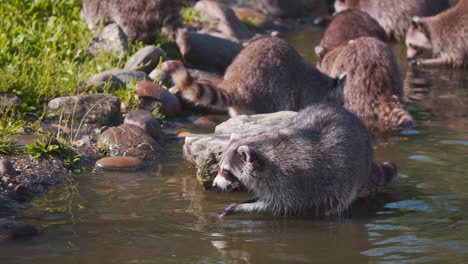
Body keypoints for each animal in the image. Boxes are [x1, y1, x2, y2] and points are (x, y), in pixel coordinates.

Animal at [163, 36, 346, 116]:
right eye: (342, 102)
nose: (344, 110)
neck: (326, 84)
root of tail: (236, 83)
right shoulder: (311, 93)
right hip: (272, 91)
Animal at [214, 102, 396, 216]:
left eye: (225, 171)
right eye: (220, 168)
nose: (214, 185)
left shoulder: (290, 181)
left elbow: (280, 206)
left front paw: (244, 207)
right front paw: (250, 200)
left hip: (350, 174)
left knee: (336, 199)